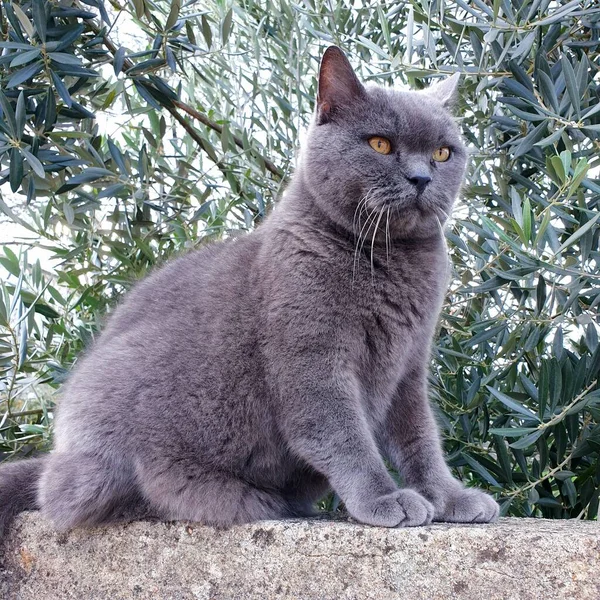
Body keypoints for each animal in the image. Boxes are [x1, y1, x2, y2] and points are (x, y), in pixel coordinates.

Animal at [0, 45, 496, 536]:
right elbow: (343, 434)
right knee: (83, 495)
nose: (421, 178)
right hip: (126, 385)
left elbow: (419, 438)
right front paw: (383, 498)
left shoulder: (408, 364)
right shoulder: (311, 358)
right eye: (380, 144)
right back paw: (238, 496)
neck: (390, 259)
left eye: (443, 152)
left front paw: (450, 498)